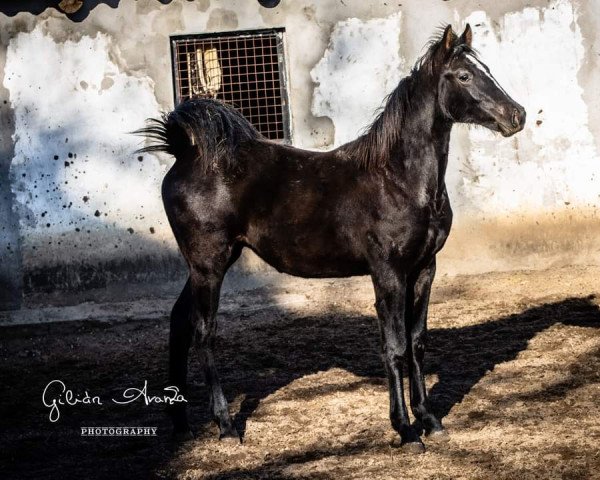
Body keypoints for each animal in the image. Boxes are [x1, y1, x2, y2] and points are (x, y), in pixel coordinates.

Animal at [137, 24, 524, 452]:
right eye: (464, 75)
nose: (517, 115)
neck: (398, 179)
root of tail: (184, 152)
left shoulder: (424, 268)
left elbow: (418, 342)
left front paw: (430, 420)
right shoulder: (388, 273)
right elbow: (395, 347)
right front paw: (406, 431)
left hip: (205, 264)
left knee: (179, 323)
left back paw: (182, 425)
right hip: (210, 264)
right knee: (204, 332)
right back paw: (225, 426)